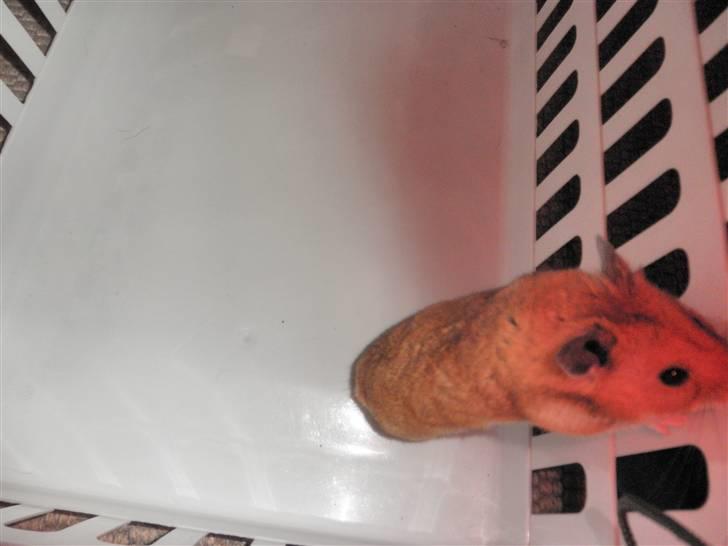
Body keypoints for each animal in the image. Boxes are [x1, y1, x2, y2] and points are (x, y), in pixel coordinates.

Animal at [352, 240, 728, 441]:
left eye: (697, 320)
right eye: (673, 377)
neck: (578, 317)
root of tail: (355, 382)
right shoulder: (573, 418)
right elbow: (643, 419)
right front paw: (673, 424)